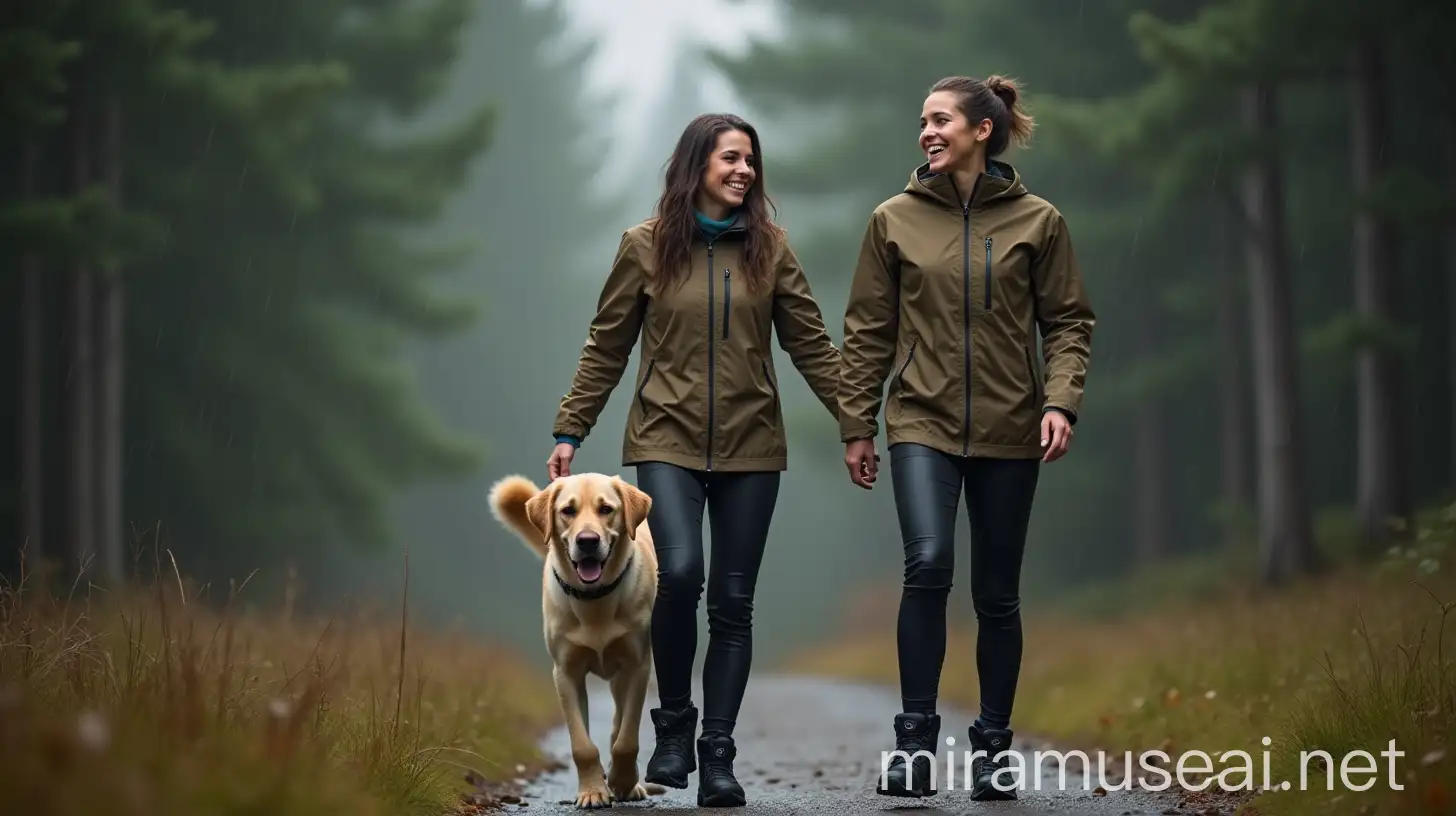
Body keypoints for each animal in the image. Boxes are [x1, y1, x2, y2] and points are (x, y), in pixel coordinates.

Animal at [492, 472, 666, 810]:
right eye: (567, 511)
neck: (595, 600)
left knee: (618, 725)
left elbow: (626, 738)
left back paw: (629, 782)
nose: (587, 541)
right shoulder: (566, 672)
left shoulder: (637, 666)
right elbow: (582, 744)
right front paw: (593, 791)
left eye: (606, 509)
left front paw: (622, 781)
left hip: (621, 677)